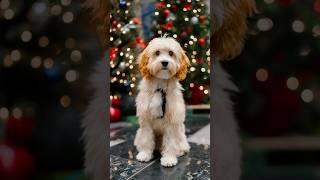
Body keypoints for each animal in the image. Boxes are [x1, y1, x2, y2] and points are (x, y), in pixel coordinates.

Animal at [133, 37, 190, 167]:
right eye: (157, 53)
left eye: (171, 53)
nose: (164, 62)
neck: (160, 84)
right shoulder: (146, 119)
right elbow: (146, 138)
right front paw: (145, 154)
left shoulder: (172, 121)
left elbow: (171, 141)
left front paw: (169, 158)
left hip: (181, 134)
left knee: (181, 144)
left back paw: (180, 151)